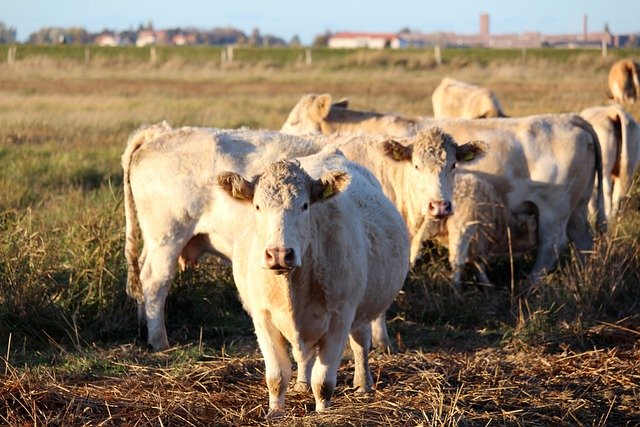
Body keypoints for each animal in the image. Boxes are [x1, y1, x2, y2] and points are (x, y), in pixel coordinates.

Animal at [122, 122, 325, 351]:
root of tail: (159, 132)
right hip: (167, 237)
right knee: (154, 282)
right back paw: (159, 341)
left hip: (154, 240)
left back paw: (144, 328)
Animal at [217, 153, 409, 417]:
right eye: (257, 206)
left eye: (305, 205)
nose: (279, 254)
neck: (292, 289)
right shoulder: (262, 317)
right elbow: (276, 376)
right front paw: (275, 412)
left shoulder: (340, 317)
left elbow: (324, 381)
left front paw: (322, 412)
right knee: (305, 356)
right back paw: (301, 384)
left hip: (362, 310)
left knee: (360, 343)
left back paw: (363, 384)